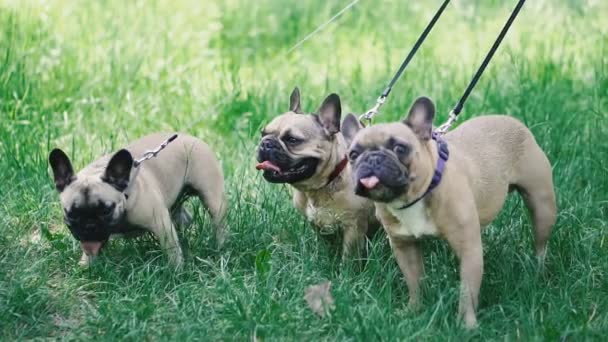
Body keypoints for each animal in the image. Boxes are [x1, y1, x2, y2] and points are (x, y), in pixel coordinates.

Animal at [254, 87, 378, 256]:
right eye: (263, 133)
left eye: (292, 140)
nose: (266, 143)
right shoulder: (317, 225)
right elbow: (323, 247)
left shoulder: (354, 228)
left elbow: (349, 257)